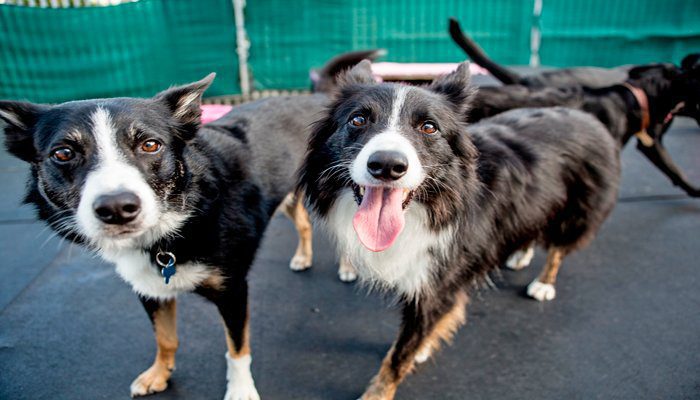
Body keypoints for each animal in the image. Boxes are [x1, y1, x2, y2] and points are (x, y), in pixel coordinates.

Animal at [298, 60, 620, 400]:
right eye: (358, 120)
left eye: (429, 127)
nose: (386, 165)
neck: (432, 206)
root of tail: (583, 114)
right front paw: (423, 347)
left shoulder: (439, 284)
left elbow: (399, 355)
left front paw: (379, 392)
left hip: (578, 211)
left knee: (559, 248)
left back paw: (544, 283)